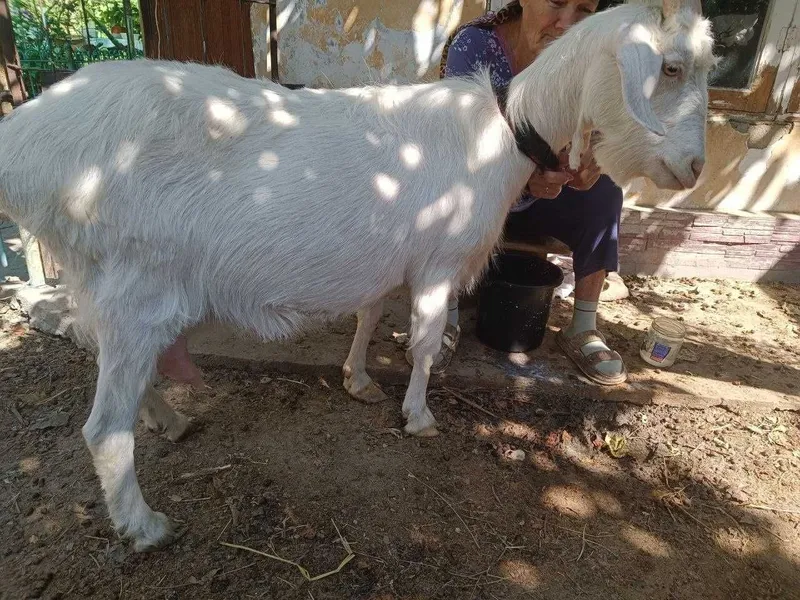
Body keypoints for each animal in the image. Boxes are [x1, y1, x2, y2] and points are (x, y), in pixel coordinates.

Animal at [0, 0, 715, 551]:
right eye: (669, 67)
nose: (694, 167)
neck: (504, 129)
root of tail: (26, 146)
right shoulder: (437, 260)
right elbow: (424, 344)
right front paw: (419, 416)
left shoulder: (391, 257)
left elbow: (372, 314)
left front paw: (360, 379)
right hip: (138, 282)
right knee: (102, 425)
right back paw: (145, 525)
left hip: (110, 282)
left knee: (112, 360)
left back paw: (169, 421)